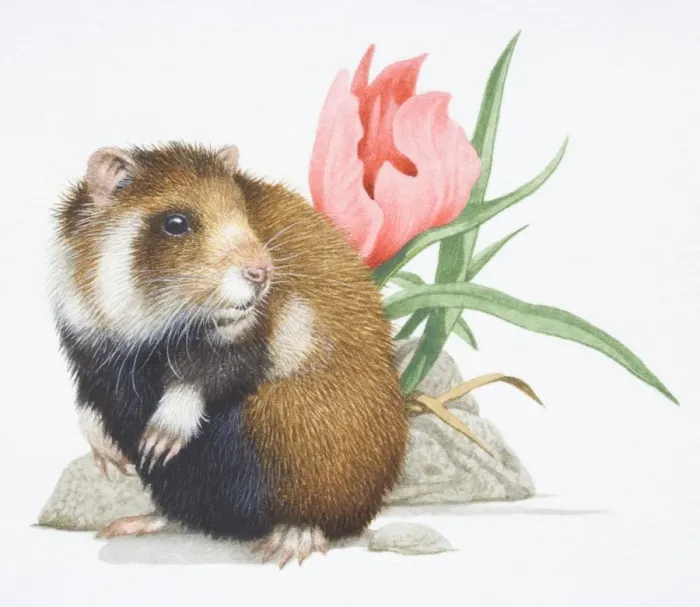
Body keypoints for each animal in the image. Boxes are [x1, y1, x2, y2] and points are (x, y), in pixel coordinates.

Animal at [48, 142, 408, 566]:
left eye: (241, 209)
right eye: (176, 223)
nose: (261, 272)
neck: (147, 329)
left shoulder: (259, 333)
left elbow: (203, 375)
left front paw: (159, 439)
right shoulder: (87, 349)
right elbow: (87, 403)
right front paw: (110, 457)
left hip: (296, 434)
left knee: (324, 516)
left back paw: (290, 541)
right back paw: (132, 522)